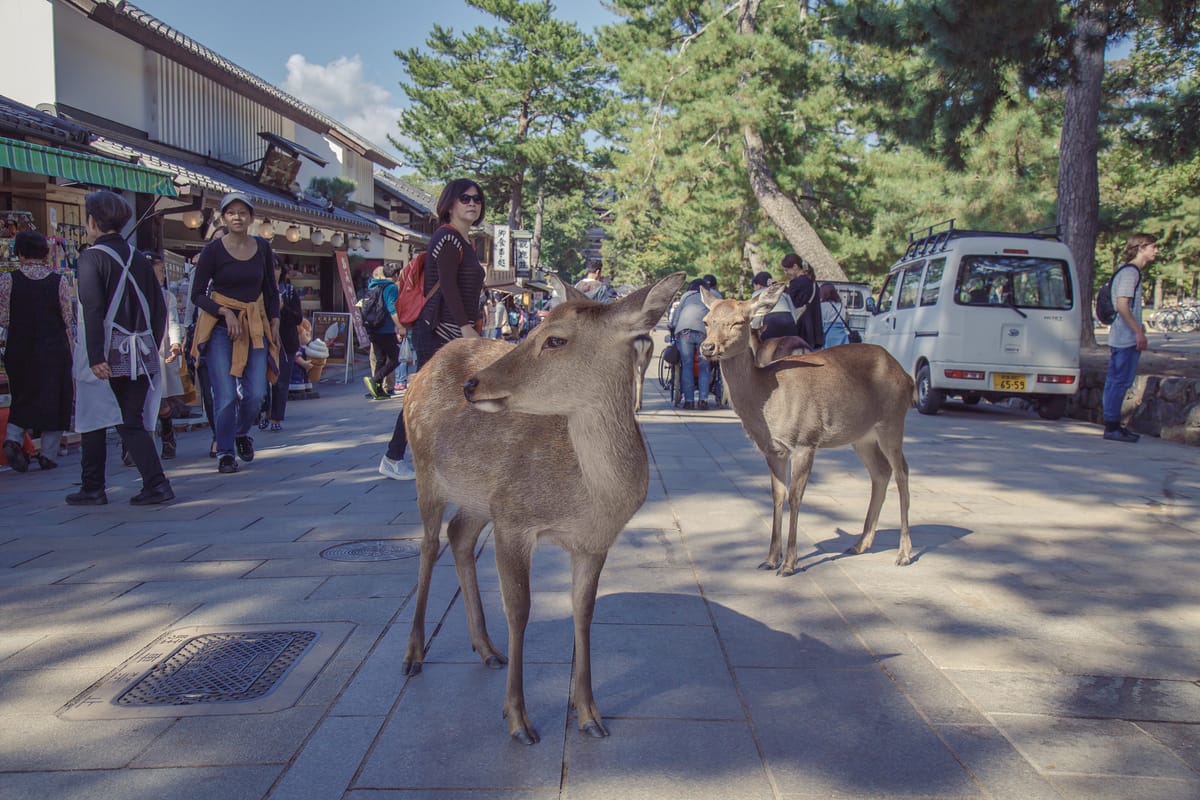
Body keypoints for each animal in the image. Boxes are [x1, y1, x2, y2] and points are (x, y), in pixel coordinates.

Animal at [400, 272, 686, 748]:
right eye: (534, 329)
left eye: (555, 339)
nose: (472, 385)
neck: (590, 496)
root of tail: (427, 366)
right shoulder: (514, 519)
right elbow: (520, 611)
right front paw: (519, 720)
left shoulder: (592, 540)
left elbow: (584, 612)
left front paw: (589, 714)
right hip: (426, 470)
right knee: (427, 546)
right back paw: (414, 654)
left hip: (480, 498)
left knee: (458, 534)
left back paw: (487, 649)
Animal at [700, 284, 912, 578]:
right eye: (706, 321)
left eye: (738, 322)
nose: (707, 347)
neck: (766, 400)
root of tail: (907, 376)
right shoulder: (773, 450)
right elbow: (777, 495)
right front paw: (769, 559)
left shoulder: (805, 441)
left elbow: (795, 496)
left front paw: (789, 564)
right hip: (862, 437)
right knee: (881, 472)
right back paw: (860, 544)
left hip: (893, 421)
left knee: (902, 471)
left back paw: (904, 553)